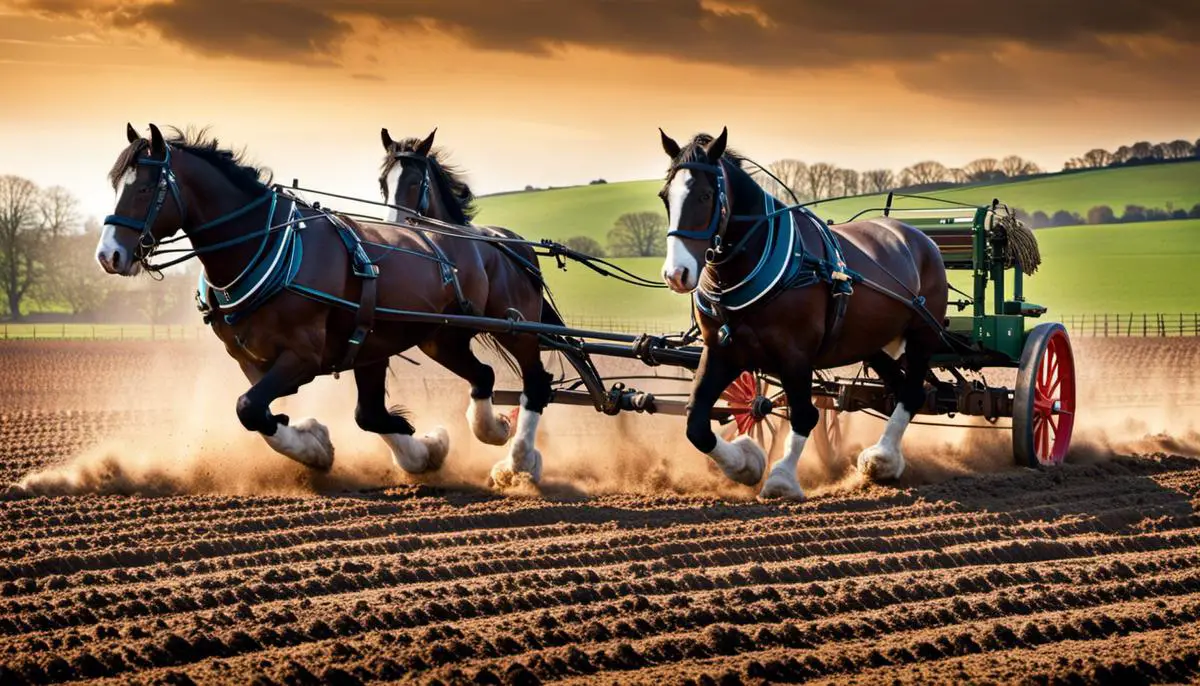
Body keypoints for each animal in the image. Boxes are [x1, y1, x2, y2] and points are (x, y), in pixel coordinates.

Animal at [97, 123, 556, 486]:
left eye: (144, 188)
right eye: (115, 184)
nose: (108, 255)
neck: (268, 247)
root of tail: (507, 240)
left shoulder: (305, 354)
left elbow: (250, 409)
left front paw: (317, 448)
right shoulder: (268, 358)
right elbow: (350, 414)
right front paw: (419, 449)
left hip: (515, 327)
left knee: (536, 383)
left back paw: (518, 463)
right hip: (442, 340)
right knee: (483, 375)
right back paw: (494, 430)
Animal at [657, 128, 945, 501]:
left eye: (706, 195)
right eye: (666, 196)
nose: (676, 274)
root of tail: (918, 236)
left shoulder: (795, 355)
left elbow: (804, 415)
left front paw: (781, 478)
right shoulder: (722, 350)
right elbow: (695, 422)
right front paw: (746, 463)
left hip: (923, 335)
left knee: (912, 393)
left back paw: (883, 457)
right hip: (872, 343)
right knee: (897, 387)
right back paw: (884, 461)